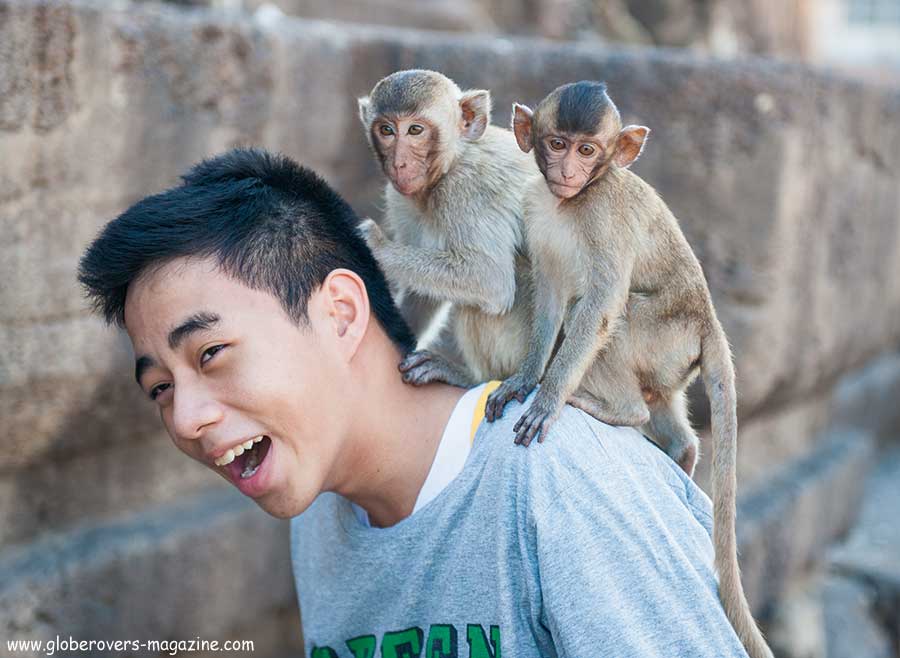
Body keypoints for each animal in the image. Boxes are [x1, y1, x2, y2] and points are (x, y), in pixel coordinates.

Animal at [356, 68, 540, 384]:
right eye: (387, 130)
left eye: (415, 130)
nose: (399, 163)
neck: (452, 161)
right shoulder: (400, 198)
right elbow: (423, 292)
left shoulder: (468, 188)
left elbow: (489, 278)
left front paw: (373, 245)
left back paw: (472, 379)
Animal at [486, 80, 772, 656]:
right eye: (556, 143)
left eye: (587, 150)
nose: (567, 170)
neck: (572, 202)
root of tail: (708, 320)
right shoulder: (537, 210)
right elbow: (550, 296)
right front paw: (526, 379)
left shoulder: (605, 217)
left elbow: (599, 304)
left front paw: (547, 398)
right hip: (673, 359)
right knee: (661, 400)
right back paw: (680, 450)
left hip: (665, 331)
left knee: (616, 323)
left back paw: (617, 410)